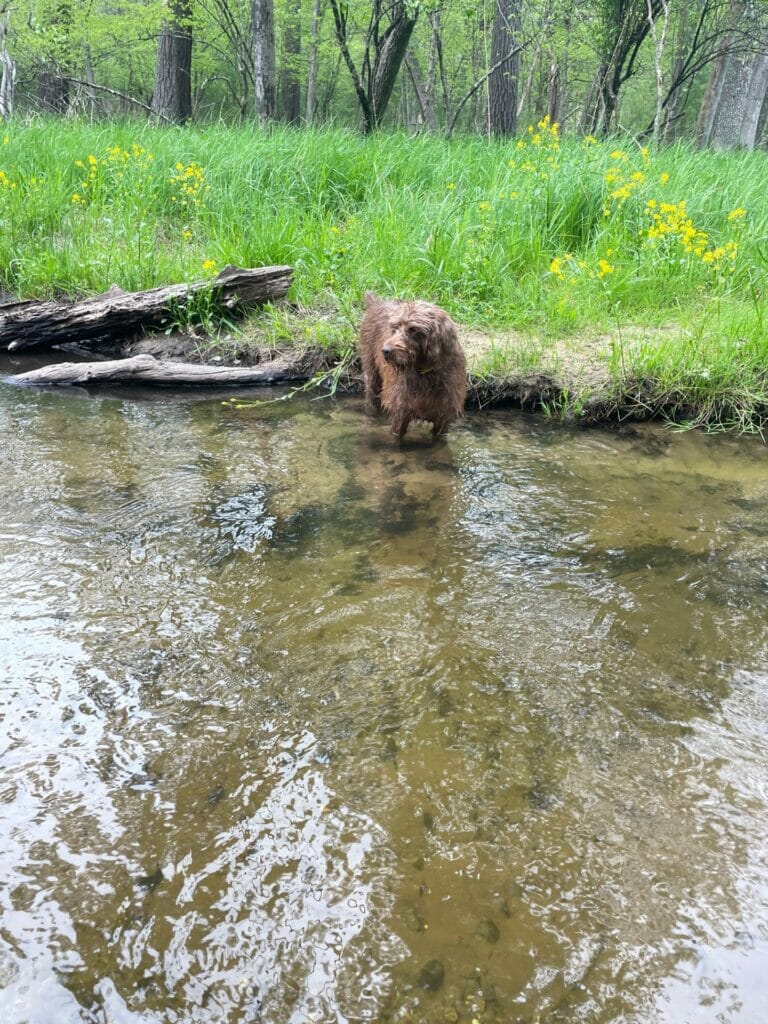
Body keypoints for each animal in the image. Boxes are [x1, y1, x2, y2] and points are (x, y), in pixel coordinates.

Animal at [360, 290, 468, 438]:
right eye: (394, 328)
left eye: (413, 329)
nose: (385, 350)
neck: (425, 372)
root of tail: (376, 302)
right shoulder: (401, 410)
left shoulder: (444, 417)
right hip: (371, 370)